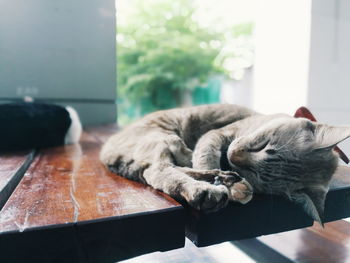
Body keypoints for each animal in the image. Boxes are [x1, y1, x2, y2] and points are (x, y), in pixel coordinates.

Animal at [99, 104, 350, 224]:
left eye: (257, 175)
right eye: (264, 145)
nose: (233, 157)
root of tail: (106, 152)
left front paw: (233, 181)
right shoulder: (216, 135)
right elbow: (205, 155)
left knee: (162, 172)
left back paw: (224, 182)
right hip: (160, 137)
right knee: (163, 169)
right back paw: (210, 185)